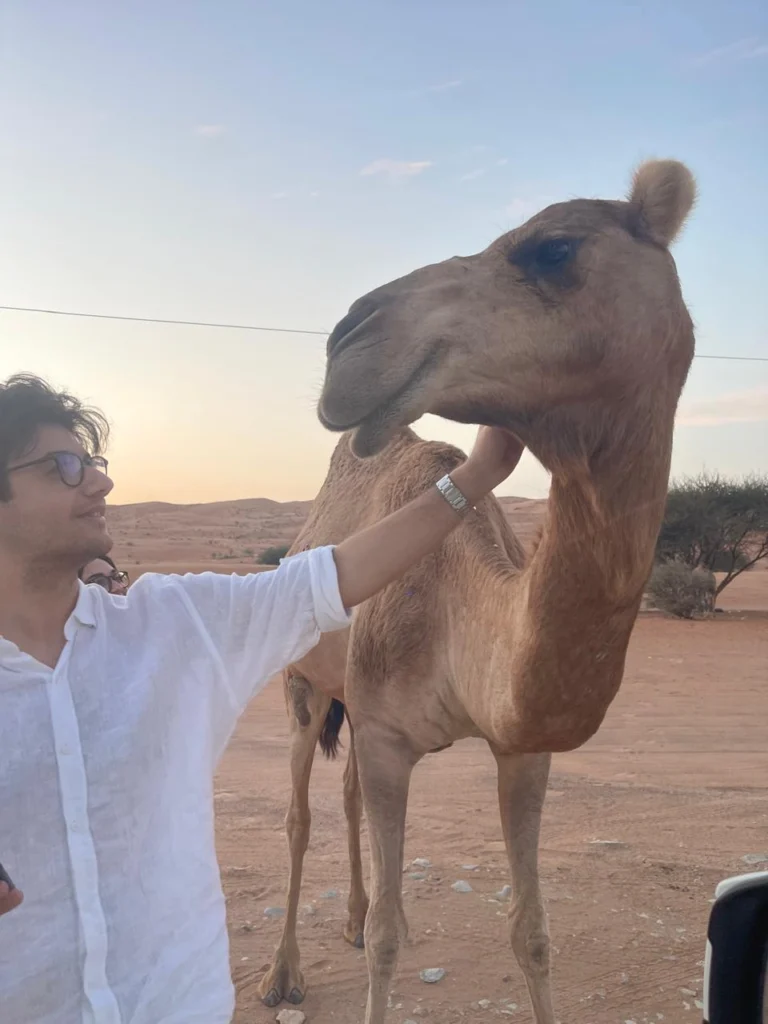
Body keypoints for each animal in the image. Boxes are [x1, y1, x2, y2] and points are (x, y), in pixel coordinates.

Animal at [259, 159, 697, 1023]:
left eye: (553, 249)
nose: (348, 336)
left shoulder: (523, 749)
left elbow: (532, 931)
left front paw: (385, 920)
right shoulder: (387, 735)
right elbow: (388, 943)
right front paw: (374, 936)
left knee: (346, 796)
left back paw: (352, 915)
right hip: (304, 685)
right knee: (297, 816)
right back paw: (285, 970)